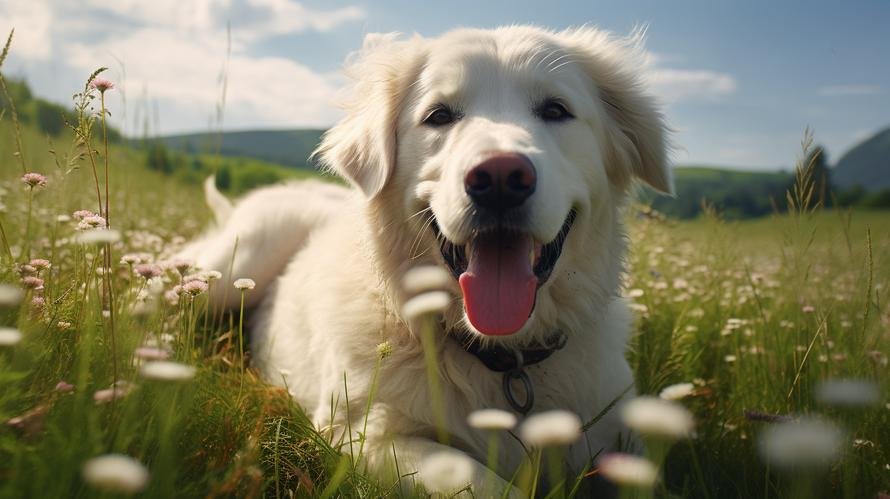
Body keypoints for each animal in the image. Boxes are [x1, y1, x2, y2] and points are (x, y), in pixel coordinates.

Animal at [177, 24, 668, 496]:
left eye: (555, 110)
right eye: (439, 115)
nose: (500, 178)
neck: (505, 360)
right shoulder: (363, 434)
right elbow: (480, 481)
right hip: (235, 265)